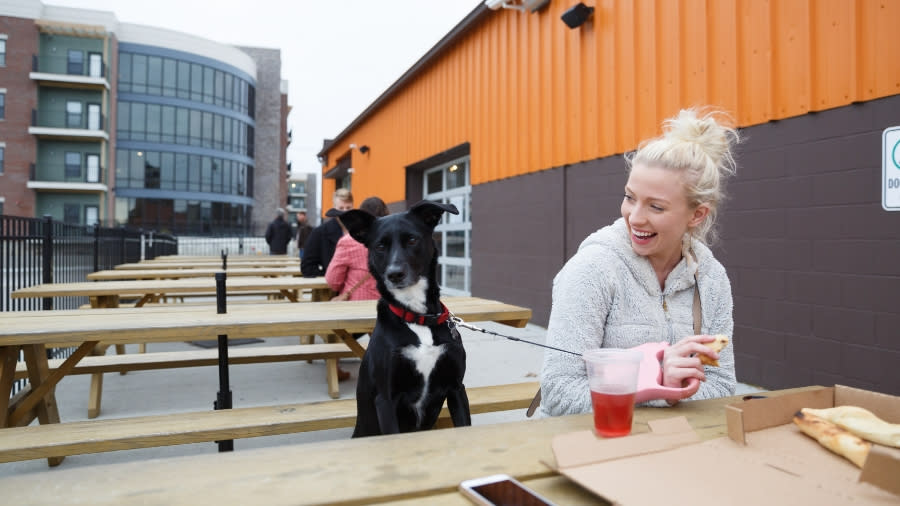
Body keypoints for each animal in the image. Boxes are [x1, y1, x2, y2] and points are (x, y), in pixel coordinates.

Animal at [340, 200, 474, 436]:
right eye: (380, 246)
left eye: (412, 239)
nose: (394, 274)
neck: (418, 317)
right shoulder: (386, 400)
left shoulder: (457, 388)